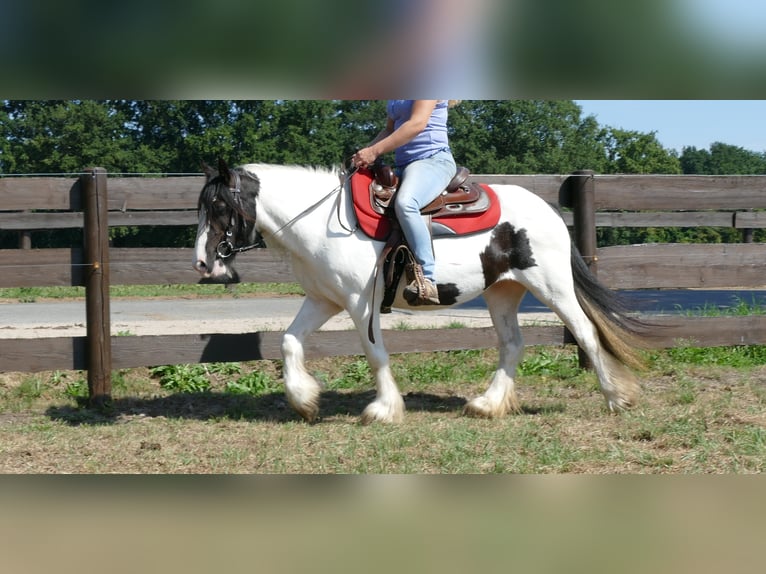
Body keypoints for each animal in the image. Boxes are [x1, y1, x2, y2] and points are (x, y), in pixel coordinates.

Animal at [194, 160, 656, 426]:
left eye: (219, 207)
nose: (203, 263)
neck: (324, 222)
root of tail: (547, 209)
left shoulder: (361, 303)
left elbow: (375, 353)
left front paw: (384, 409)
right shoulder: (324, 299)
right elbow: (290, 341)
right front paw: (305, 401)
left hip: (552, 285)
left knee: (586, 332)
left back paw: (616, 398)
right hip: (502, 292)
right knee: (512, 345)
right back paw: (486, 405)